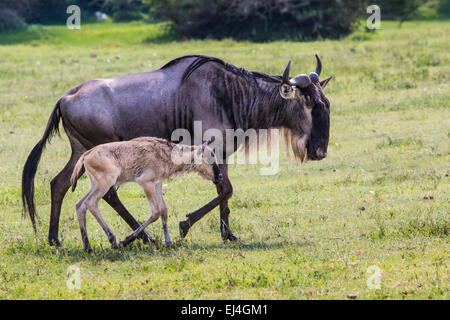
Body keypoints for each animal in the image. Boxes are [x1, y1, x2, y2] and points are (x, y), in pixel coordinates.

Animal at [70, 137, 221, 250]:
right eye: (210, 158)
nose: (219, 177)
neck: (165, 153)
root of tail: (86, 155)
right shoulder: (146, 183)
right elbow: (156, 212)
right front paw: (126, 240)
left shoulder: (157, 184)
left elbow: (164, 210)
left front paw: (168, 242)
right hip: (105, 184)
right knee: (91, 203)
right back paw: (112, 240)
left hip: (95, 185)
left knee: (80, 204)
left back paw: (87, 246)